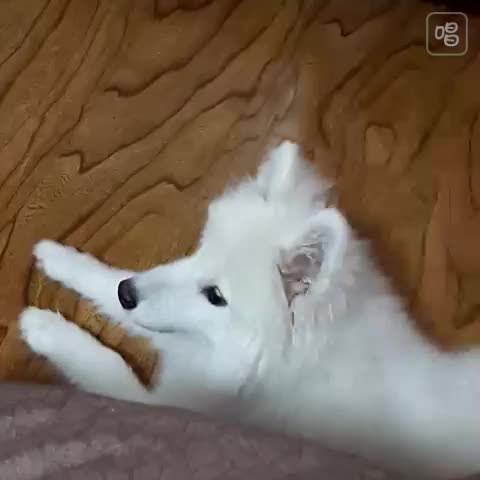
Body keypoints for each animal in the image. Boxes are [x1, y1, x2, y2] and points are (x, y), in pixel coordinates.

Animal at [18, 141, 480, 478]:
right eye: (199, 250)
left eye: (215, 296)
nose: (127, 294)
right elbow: (114, 286)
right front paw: (61, 258)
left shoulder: (181, 406)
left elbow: (107, 365)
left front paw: (44, 326)